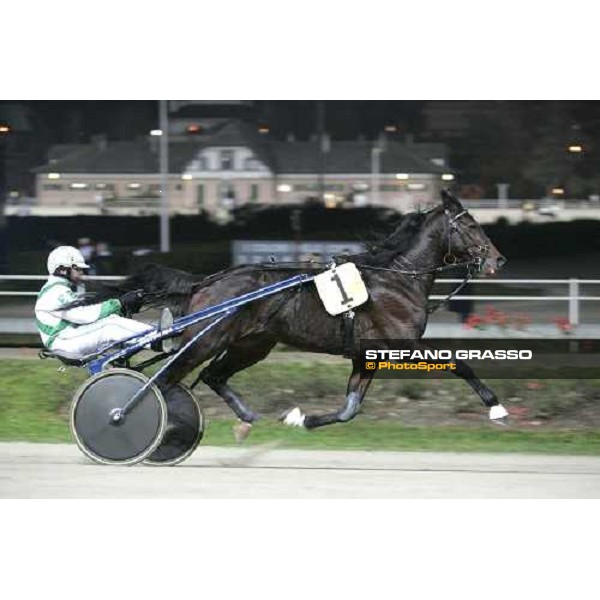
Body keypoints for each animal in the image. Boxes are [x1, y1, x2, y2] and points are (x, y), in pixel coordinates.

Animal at [91, 192, 508, 432]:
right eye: (472, 225)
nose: (498, 260)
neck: (397, 277)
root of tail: (206, 281)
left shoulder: (366, 354)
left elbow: (349, 409)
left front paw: (299, 418)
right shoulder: (402, 343)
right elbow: (460, 364)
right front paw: (496, 407)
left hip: (252, 345)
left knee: (212, 376)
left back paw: (249, 419)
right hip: (206, 340)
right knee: (165, 380)